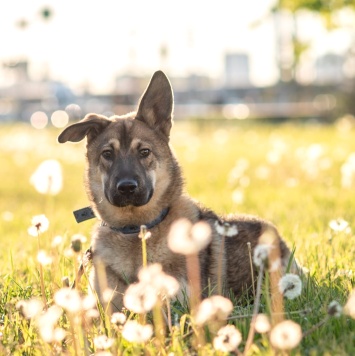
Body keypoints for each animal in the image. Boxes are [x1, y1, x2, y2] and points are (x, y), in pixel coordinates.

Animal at [59, 71, 298, 310]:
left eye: (144, 152)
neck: (136, 229)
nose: (127, 187)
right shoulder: (105, 305)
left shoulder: (178, 304)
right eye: (107, 154)